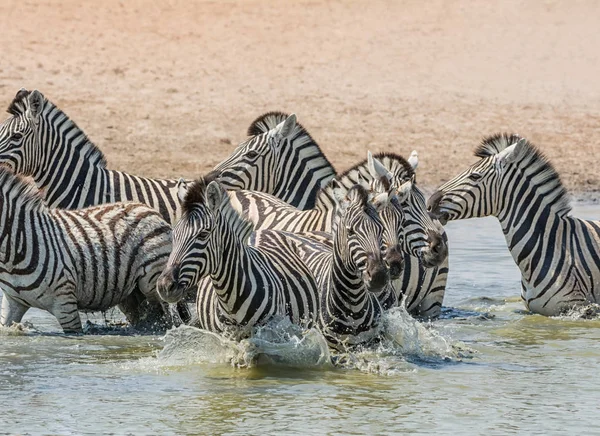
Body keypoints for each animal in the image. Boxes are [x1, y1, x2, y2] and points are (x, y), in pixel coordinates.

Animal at [156, 176, 324, 338]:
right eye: (174, 234)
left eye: (203, 234)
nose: (165, 286)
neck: (231, 302)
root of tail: (263, 230)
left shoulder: (272, 334)